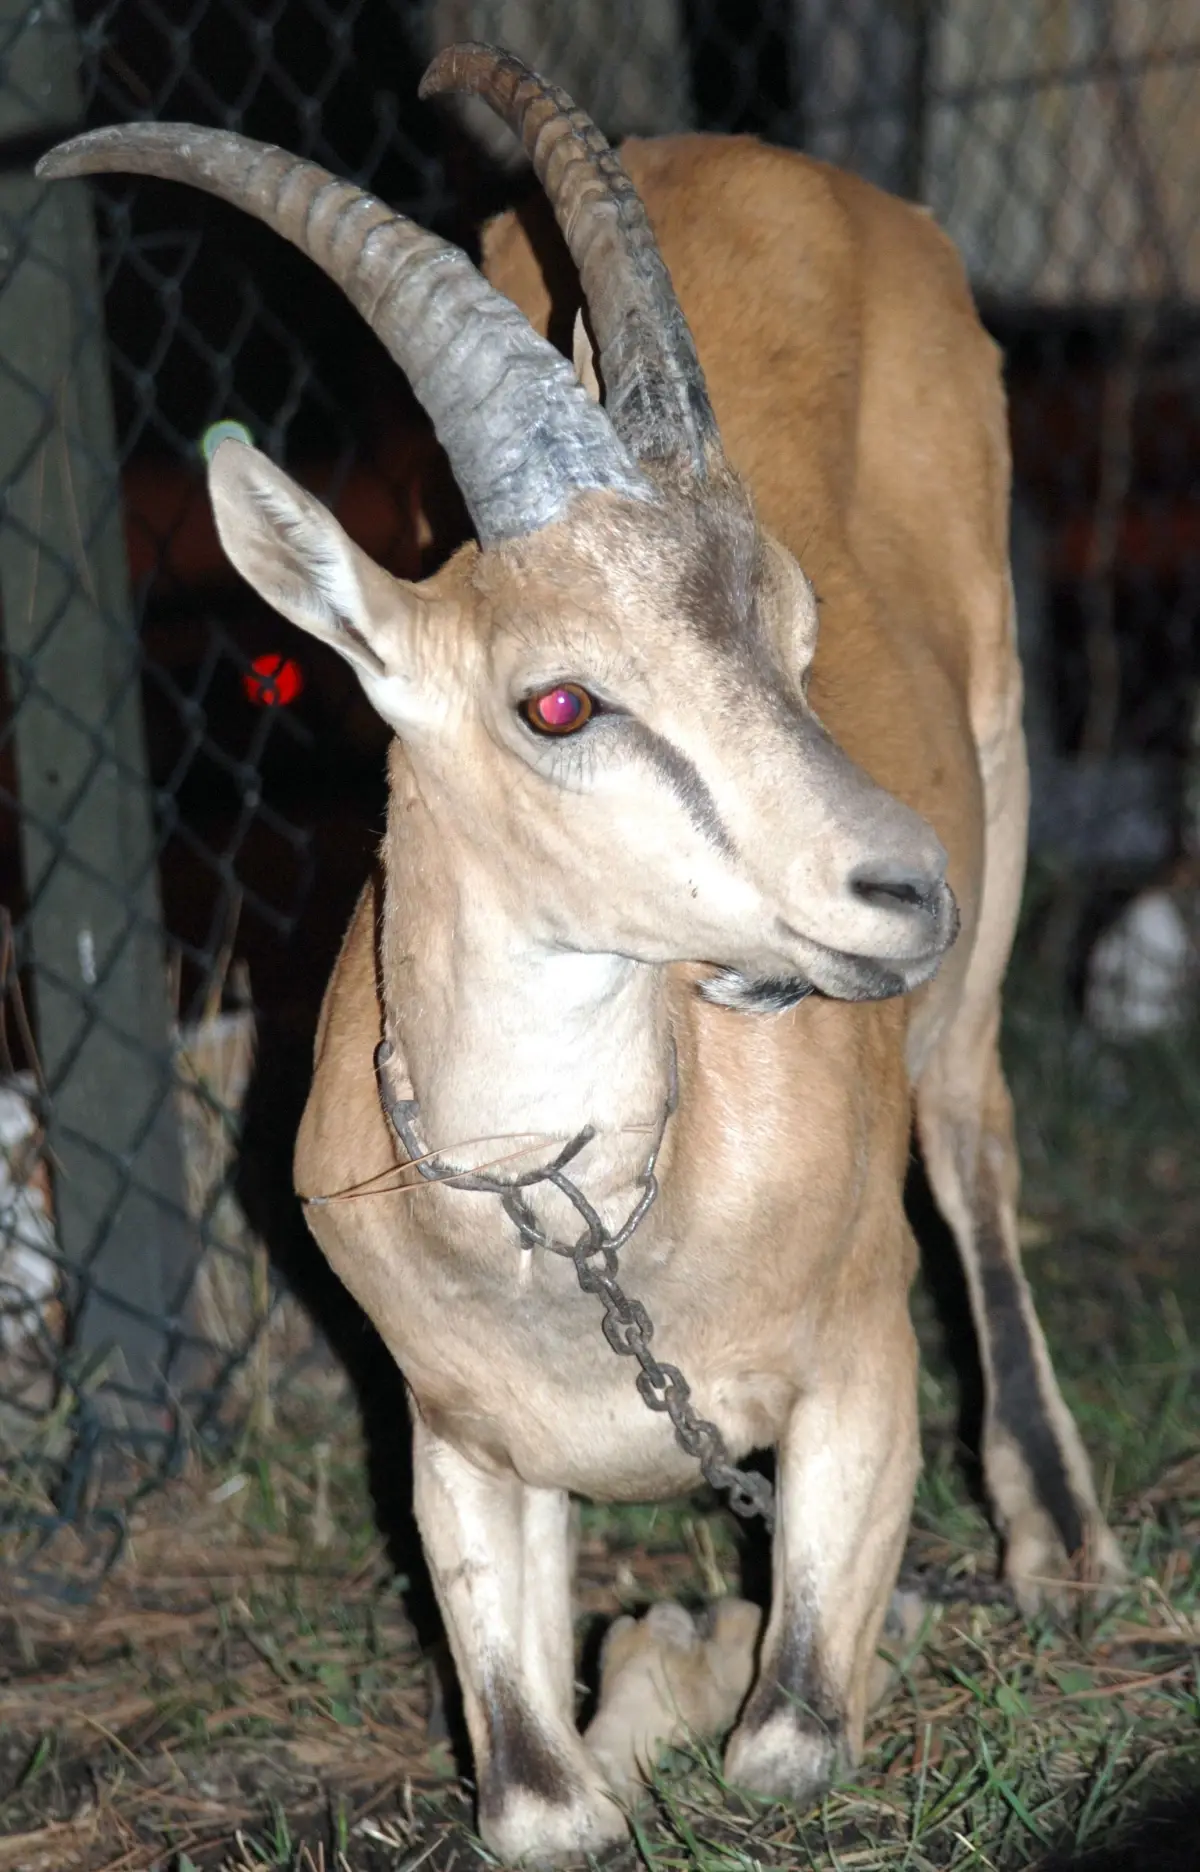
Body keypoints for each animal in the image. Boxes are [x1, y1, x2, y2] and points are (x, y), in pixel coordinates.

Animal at [44, 40, 1123, 1857]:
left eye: (801, 639)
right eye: (559, 702)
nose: (905, 883)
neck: (590, 1229)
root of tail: (750, 158)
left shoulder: (859, 1373)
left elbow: (785, 1737)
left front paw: (688, 1645)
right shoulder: (453, 1447)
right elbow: (538, 1806)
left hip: (1004, 756)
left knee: (974, 1134)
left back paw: (1066, 1544)